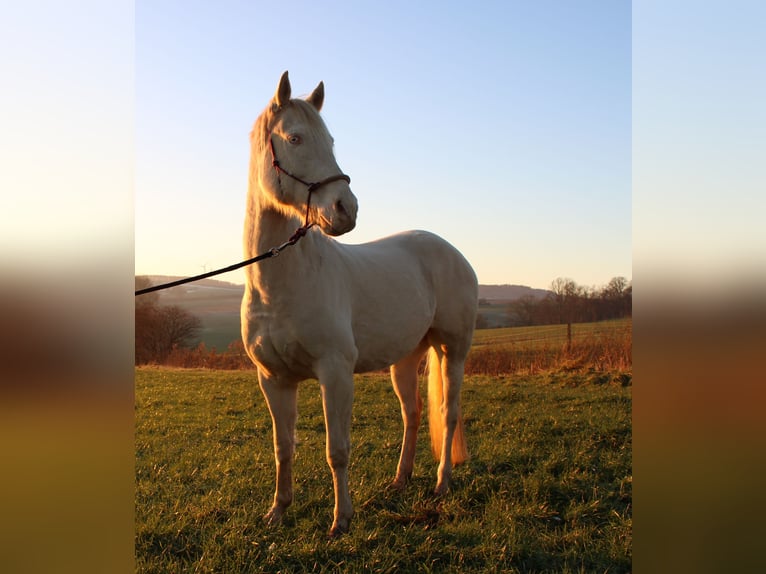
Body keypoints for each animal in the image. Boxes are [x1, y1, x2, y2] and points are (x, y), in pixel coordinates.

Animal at [243, 72, 476, 540]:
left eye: (331, 139)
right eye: (295, 138)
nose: (345, 209)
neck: (281, 283)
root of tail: (452, 252)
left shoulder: (335, 373)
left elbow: (337, 450)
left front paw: (341, 520)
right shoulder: (274, 380)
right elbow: (283, 447)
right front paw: (277, 512)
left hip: (452, 350)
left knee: (448, 412)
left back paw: (442, 483)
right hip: (406, 358)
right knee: (413, 413)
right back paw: (400, 479)